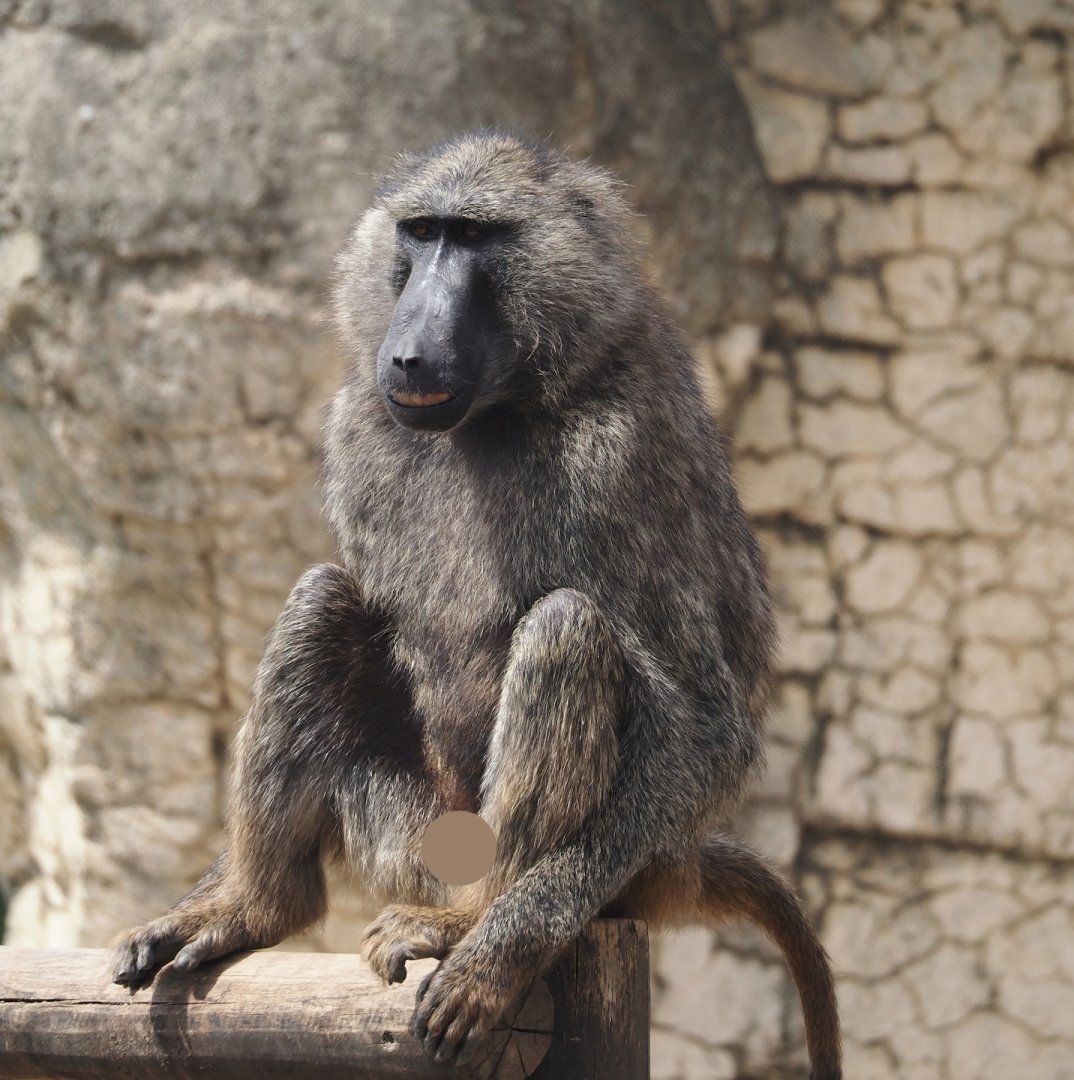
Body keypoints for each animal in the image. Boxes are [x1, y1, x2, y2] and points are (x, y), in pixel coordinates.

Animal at [110, 130, 841, 1080]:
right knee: (322, 598)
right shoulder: (355, 424)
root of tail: (677, 864)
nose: (409, 351)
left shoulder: (620, 455)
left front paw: (495, 961)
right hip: (411, 834)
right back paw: (258, 905)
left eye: (476, 238)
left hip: (607, 874)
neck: (504, 405)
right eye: (421, 233)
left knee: (568, 629)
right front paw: (210, 892)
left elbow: (706, 727)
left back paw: (469, 922)